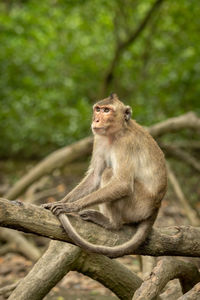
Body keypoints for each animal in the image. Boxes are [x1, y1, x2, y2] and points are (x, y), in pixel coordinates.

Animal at [43, 94, 168, 258]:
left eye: (107, 110)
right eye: (98, 109)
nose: (96, 120)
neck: (115, 133)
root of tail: (156, 207)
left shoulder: (125, 144)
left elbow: (122, 183)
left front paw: (70, 206)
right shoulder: (98, 139)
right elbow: (95, 175)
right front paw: (62, 201)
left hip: (139, 206)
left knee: (108, 173)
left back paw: (112, 224)